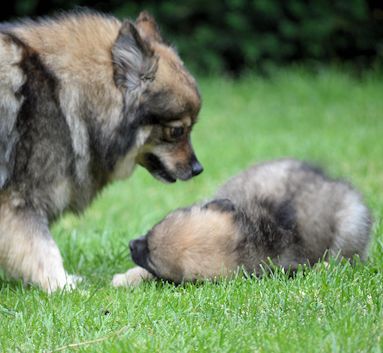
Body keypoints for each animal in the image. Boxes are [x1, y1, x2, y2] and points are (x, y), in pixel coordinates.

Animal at [0, 11, 204, 292]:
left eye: (192, 128)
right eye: (177, 131)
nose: (198, 169)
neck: (62, 95)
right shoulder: (18, 199)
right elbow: (42, 248)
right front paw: (63, 287)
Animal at [113, 158, 372, 284]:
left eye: (152, 259)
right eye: (154, 227)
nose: (131, 245)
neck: (251, 235)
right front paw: (127, 278)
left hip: (351, 222)